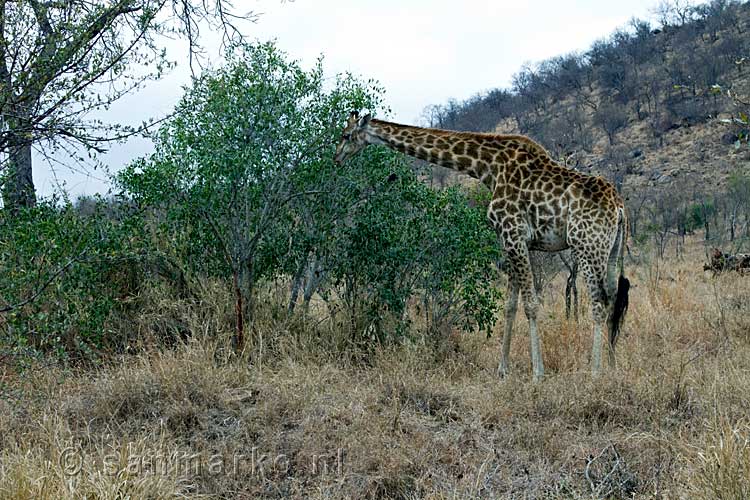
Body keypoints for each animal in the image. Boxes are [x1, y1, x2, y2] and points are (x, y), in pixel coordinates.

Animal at [334, 111, 628, 380]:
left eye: (346, 135)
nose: (336, 158)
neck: (488, 168)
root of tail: (619, 207)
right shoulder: (517, 242)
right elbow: (510, 307)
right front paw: (502, 370)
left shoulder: (512, 233)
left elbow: (530, 305)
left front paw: (537, 373)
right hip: (612, 249)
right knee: (614, 298)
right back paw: (613, 368)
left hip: (587, 246)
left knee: (599, 302)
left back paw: (595, 372)